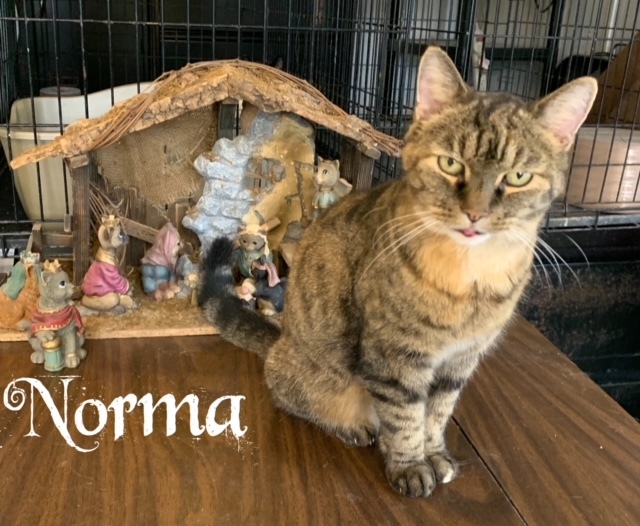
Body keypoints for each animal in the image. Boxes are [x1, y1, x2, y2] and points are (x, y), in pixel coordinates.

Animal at [199, 46, 597, 498]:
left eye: (518, 177)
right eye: (450, 163)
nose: (476, 213)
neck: (469, 275)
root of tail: (280, 342)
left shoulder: (459, 362)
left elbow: (436, 413)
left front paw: (434, 453)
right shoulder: (394, 356)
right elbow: (406, 416)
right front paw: (410, 465)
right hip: (313, 374)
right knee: (292, 396)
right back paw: (351, 426)